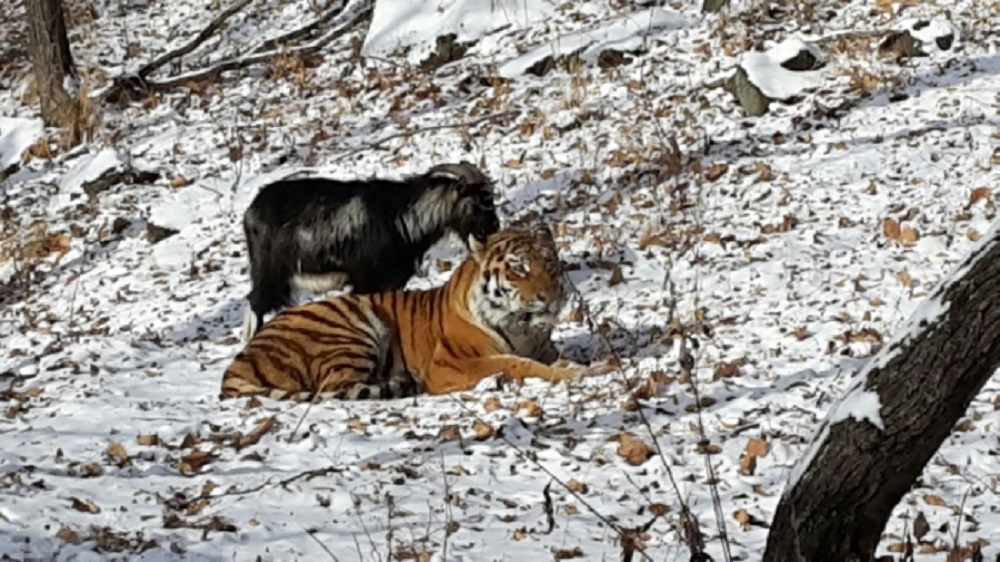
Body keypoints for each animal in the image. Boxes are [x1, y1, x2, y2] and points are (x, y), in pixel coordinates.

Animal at [219, 221, 608, 400]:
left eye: (549, 264)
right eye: (518, 269)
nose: (551, 297)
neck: (522, 327)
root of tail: (238, 361)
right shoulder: (449, 364)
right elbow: (517, 364)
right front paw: (580, 372)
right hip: (352, 327)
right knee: (336, 386)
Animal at [239, 160, 504, 340]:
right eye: (479, 201)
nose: (493, 228)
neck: (401, 217)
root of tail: (250, 212)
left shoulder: (391, 282)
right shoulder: (365, 281)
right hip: (269, 273)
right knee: (255, 303)